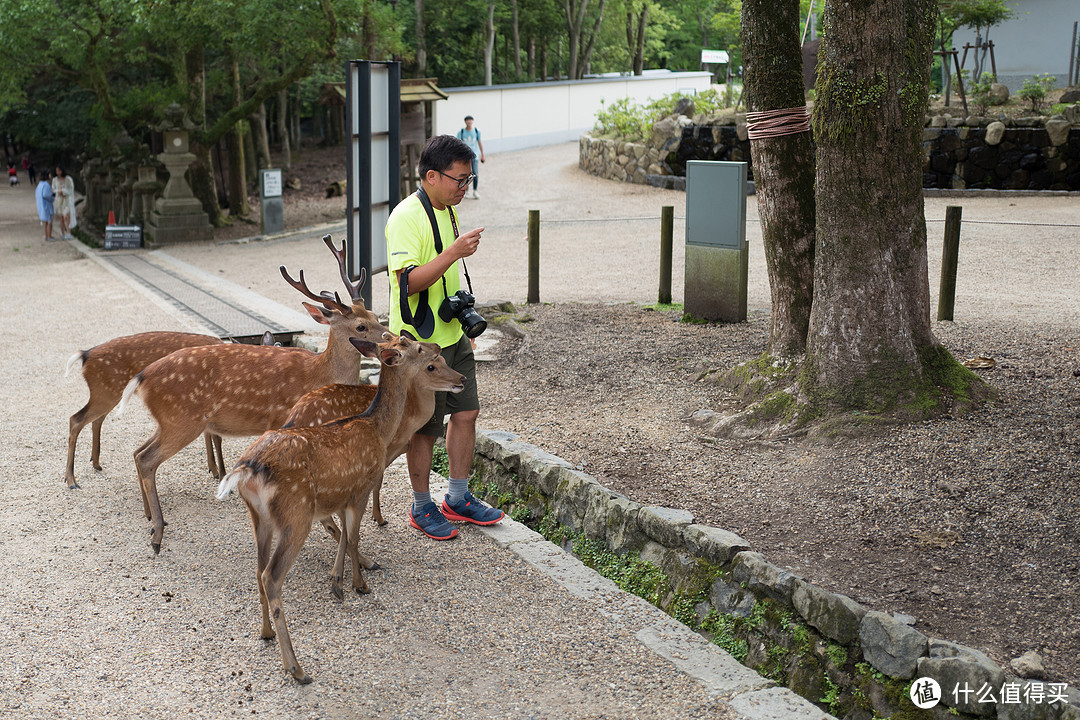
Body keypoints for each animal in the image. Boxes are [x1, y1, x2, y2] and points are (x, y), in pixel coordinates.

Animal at [119, 236, 388, 552]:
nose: (394, 336)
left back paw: (149, 517)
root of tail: (141, 377)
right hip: (182, 419)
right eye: (361, 326)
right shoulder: (282, 420)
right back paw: (158, 533)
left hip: (166, 420)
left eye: (374, 315)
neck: (317, 374)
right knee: (147, 458)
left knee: (137, 452)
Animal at [214, 334, 464, 686]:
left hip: (260, 518)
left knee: (258, 571)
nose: (438, 346)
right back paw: (297, 668)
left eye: (405, 337)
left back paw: (265, 633)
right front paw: (358, 584)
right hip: (296, 515)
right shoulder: (361, 487)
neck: (378, 427)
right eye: (417, 349)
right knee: (271, 576)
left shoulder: (344, 495)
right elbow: (355, 535)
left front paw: (341, 581)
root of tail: (246, 469)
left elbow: (346, 532)